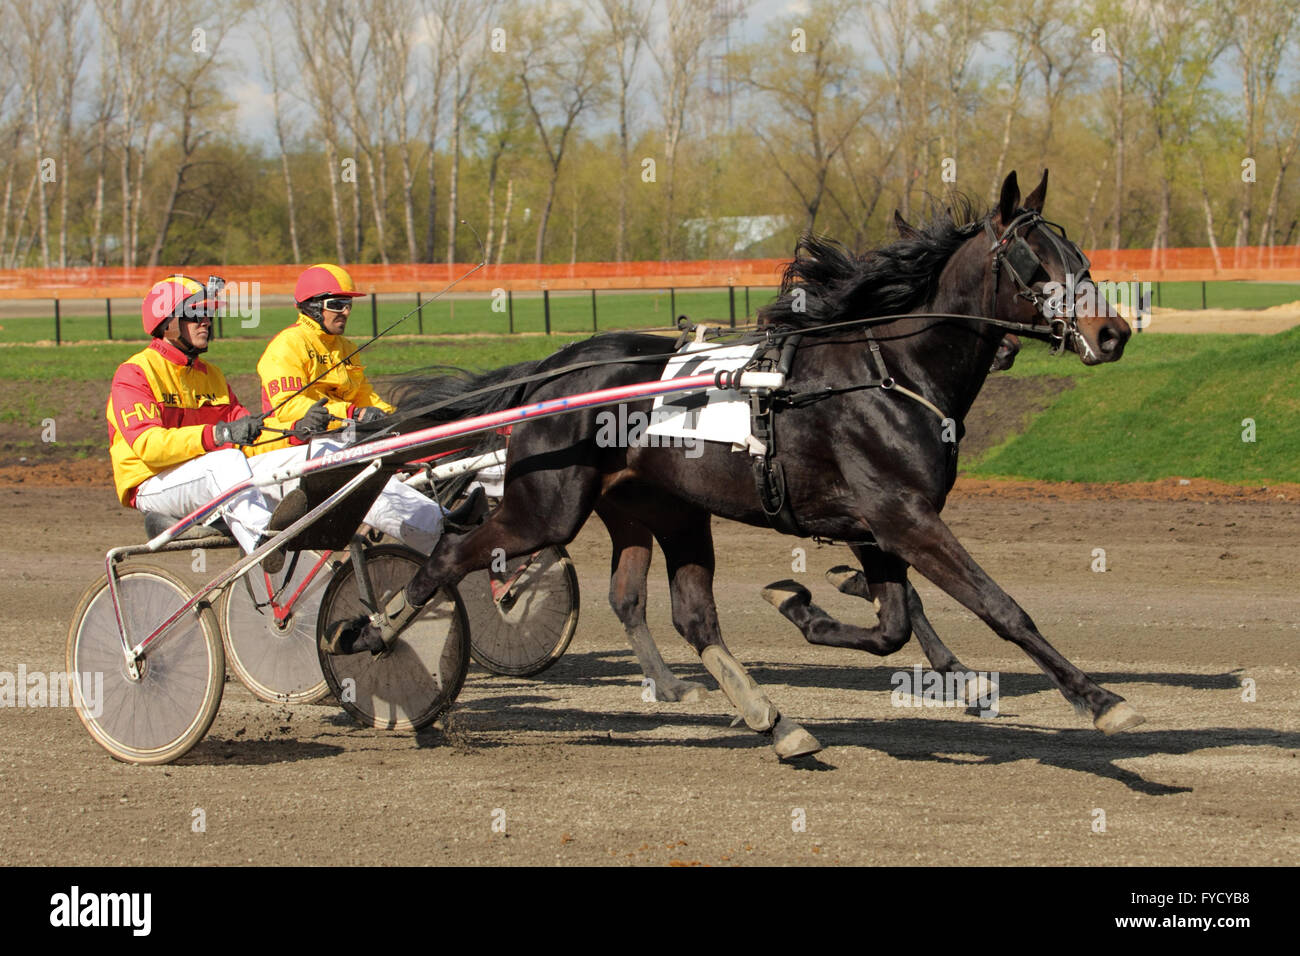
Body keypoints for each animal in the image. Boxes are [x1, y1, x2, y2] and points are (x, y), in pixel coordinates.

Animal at [332, 170, 1138, 754]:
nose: (1115, 332)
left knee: (677, 611)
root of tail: (551, 370)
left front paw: (803, 602)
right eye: (1037, 264)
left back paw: (773, 721)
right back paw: (371, 633)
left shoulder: (879, 526)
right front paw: (1098, 699)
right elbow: (997, 605)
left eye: (1082, 259)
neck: (887, 373)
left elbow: (893, 625)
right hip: (546, 509)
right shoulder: (901, 519)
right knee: (452, 552)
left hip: (663, 510)